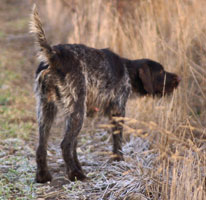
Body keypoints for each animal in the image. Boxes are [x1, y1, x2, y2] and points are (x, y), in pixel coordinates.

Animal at [30, 5, 180, 183]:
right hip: (77, 112)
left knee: (42, 146)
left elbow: (75, 145)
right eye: (162, 72)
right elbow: (117, 139)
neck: (128, 70)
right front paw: (118, 160)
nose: (178, 78)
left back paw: (44, 176)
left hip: (47, 110)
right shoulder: (118, 110)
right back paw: (76, 175)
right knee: (65, 144)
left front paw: (79, 165)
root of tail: (54, 57)